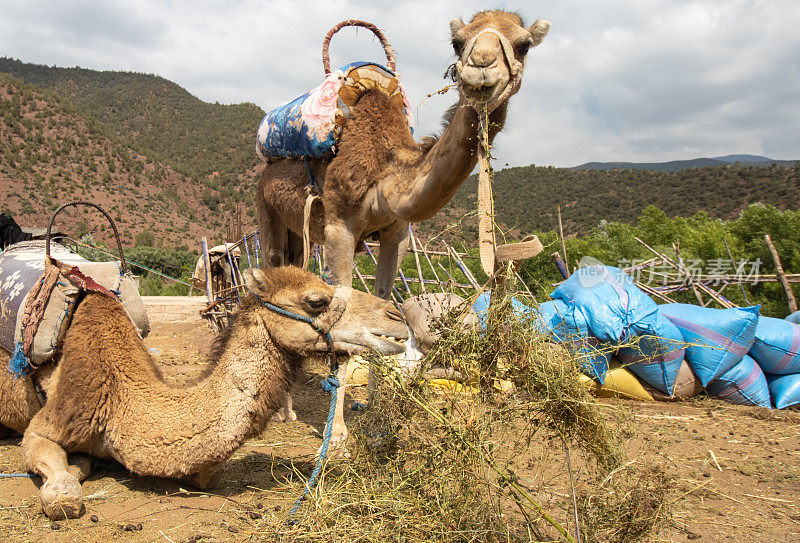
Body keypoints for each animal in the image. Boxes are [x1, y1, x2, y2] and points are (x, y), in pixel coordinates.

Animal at [0, 266, 406, 520]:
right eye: (316, 301)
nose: (396, 317)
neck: (122, 401)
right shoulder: (52, 422)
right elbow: (63, 496)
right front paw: (74, 470)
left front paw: (85, 463)